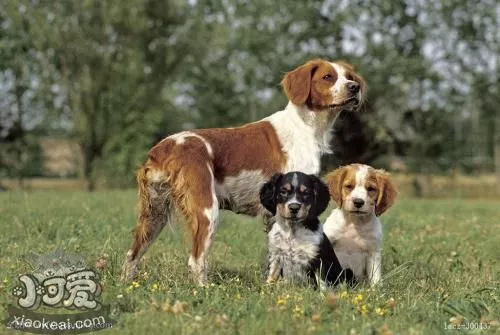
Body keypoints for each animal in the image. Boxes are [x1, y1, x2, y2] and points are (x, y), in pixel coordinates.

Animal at [119, 58, 366, 286]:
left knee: (132, 254)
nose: (354, 87)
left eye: (349, 76)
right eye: (328, 77)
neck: (305, 126)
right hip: (207, 210)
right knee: (196, 260)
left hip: (155, 213)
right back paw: (205, 290)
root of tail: (165, 148)